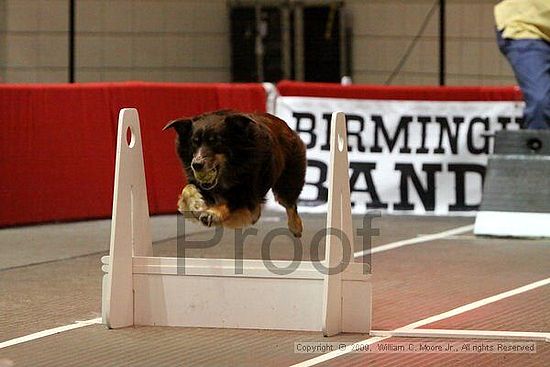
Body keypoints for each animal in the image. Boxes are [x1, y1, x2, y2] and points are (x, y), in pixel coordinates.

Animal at [164, 109, 310, 239]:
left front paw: (212, 213)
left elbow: (233, 201)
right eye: (194, 142)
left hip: (288, 180)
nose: (196, 165)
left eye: (215, 141)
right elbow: (187, 189)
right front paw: (195, 203)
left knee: (289, 203)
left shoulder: (248, 193)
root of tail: (285, 125)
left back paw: (296, 227)